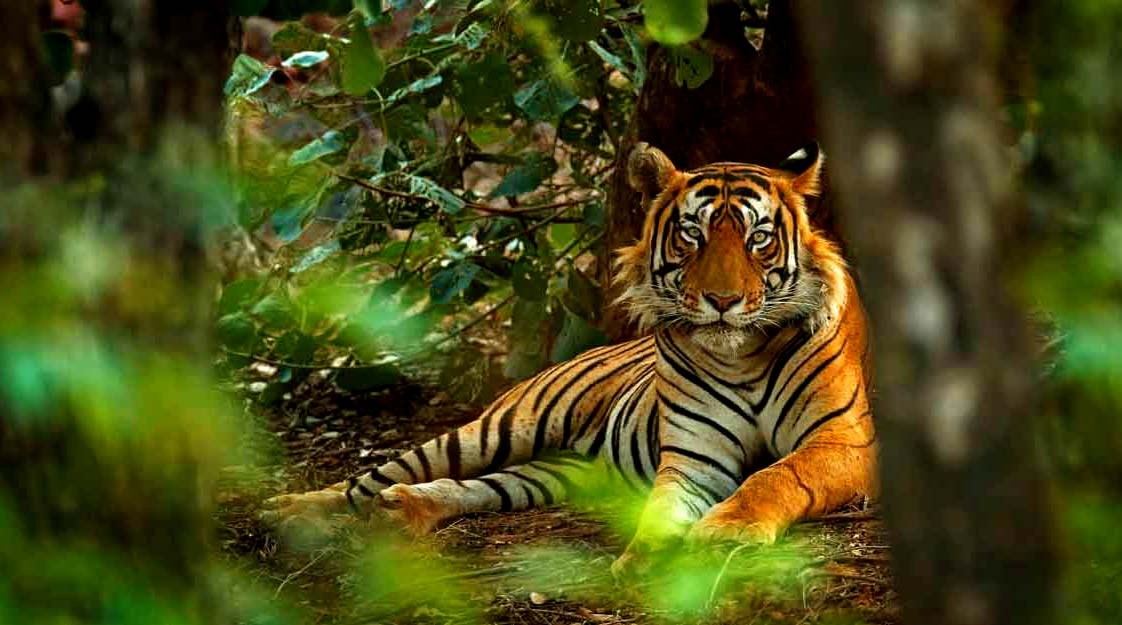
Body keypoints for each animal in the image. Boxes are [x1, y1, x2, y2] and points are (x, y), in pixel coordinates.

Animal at [261, 143, 877, 575]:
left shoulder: (844, 440)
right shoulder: (693, 457)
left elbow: (777, 475)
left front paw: (726, 531)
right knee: (372, 477)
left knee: (476, 487)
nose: (721, 301)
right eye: (692, 235)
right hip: (500, 428)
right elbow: (661, 509)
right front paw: (645, 560)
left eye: (759, 239)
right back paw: (289, 509)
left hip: (558, 472)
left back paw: (402, 510)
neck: (741, 356)